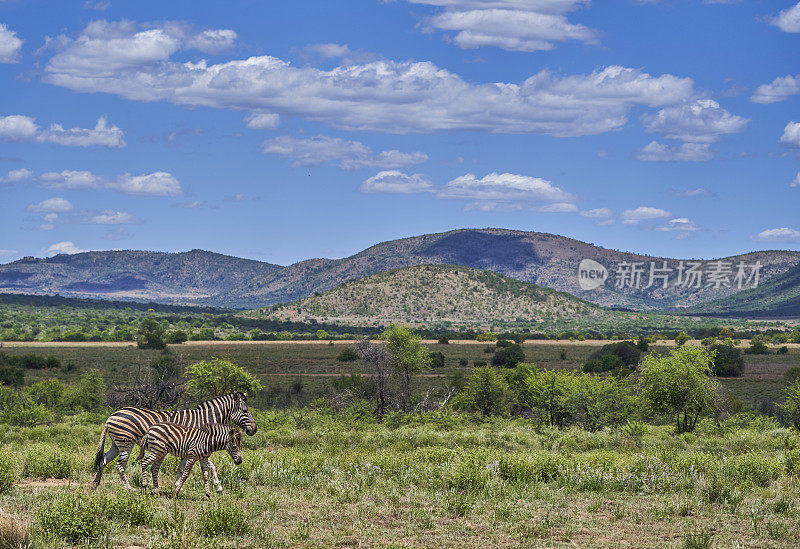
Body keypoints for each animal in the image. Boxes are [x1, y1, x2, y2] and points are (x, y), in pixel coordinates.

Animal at [92, 392, 258, 490]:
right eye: (245, 411)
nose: (254, 429)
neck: (204, 420)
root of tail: (111, 417)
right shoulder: (194, 445)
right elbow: (210, 466)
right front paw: (218, 487)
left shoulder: (188, 448)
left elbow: (185, 468)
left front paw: (177, 485)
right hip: (126, 443)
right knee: (120, 466)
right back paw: (129, 489)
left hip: (116, 444)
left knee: (103, 461)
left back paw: (95, 484)